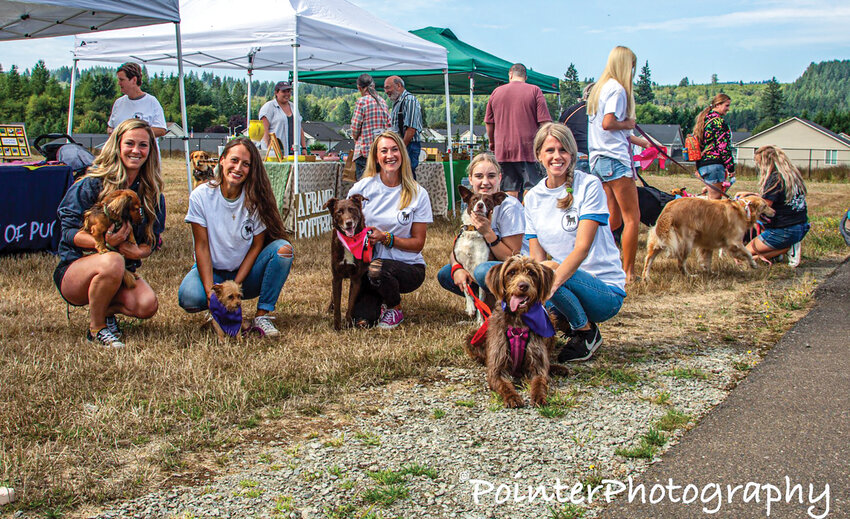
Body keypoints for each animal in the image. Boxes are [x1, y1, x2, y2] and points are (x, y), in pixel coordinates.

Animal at [322, 193, 370, 332]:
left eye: (352, 209)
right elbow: (337, 305)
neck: (349, 241)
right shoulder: (337, 277)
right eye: (339, 212)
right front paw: (337, 327)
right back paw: (329, 308)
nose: (349, 223)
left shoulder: (356, 279)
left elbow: (351, 305)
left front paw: (348, 325)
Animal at [468, 258, 568, 408]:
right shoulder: (496, 368)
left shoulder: (537, 363)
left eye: (532, 273)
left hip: (550, 318)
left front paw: (539, 396)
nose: (523, 286)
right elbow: (504, 385)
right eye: (511, 272)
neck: (518, 323)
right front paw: (512, 397)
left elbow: (540, 381)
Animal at [644, 193, 776, 280]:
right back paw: (690, 276)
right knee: (681, 263)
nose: (774, 212)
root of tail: (669, 209)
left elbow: (707, 261)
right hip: (686, 242)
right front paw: (753, 264)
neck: (743, 209)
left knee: (649, 259)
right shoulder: (735, 242)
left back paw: (646, 278)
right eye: (765, 206)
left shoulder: (707, 244)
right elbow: (748, 253)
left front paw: (710, 272)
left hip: (661, 239)